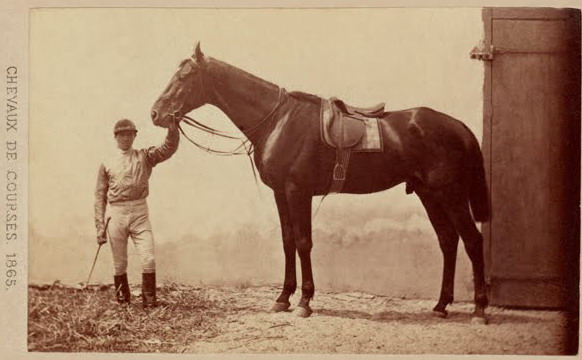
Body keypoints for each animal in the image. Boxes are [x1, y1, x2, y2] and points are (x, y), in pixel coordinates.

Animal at [152, 43, 492, 324]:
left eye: (184, 77)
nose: (156, 113)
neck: (278, 121)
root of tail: (460, 127)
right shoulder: (280, 193)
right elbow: (288, 241)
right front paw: (283, 298)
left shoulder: (298, 192)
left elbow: (304, 242)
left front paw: (304, 301)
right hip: (429, 194)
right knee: (448, 240)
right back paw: (441, 305)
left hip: (451, 195)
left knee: (473, 241)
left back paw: (479, 310)